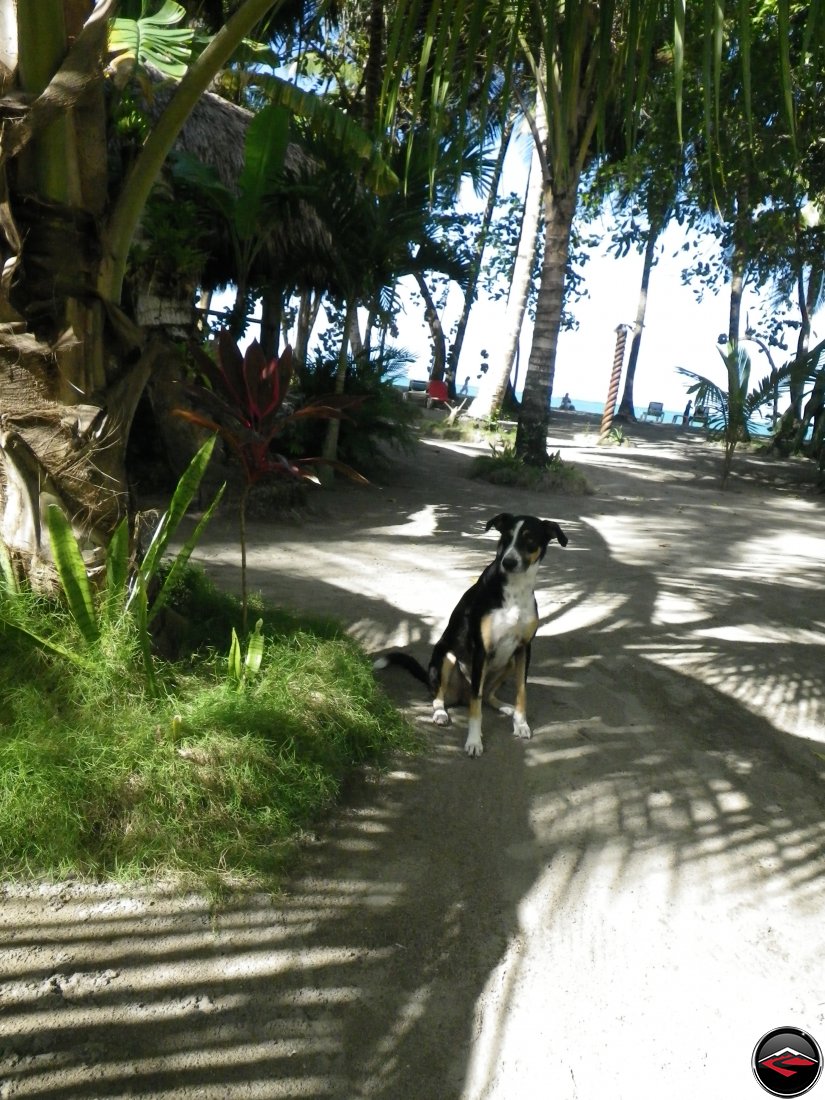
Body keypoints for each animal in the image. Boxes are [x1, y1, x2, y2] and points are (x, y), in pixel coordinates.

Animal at [374, 508, 567, 752]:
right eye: (506, 537)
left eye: (530, 540)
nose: (508, 562)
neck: (515, 590)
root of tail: (459, 697)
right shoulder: (481, 649)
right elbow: (476, 706)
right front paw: (474, 741)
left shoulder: (524, 648)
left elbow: (521, 692)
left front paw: (521, 724)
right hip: (447, 656)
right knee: (441, 697)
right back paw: (440, 713)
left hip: (509, 662)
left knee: (487, 696)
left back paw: (505, 707)